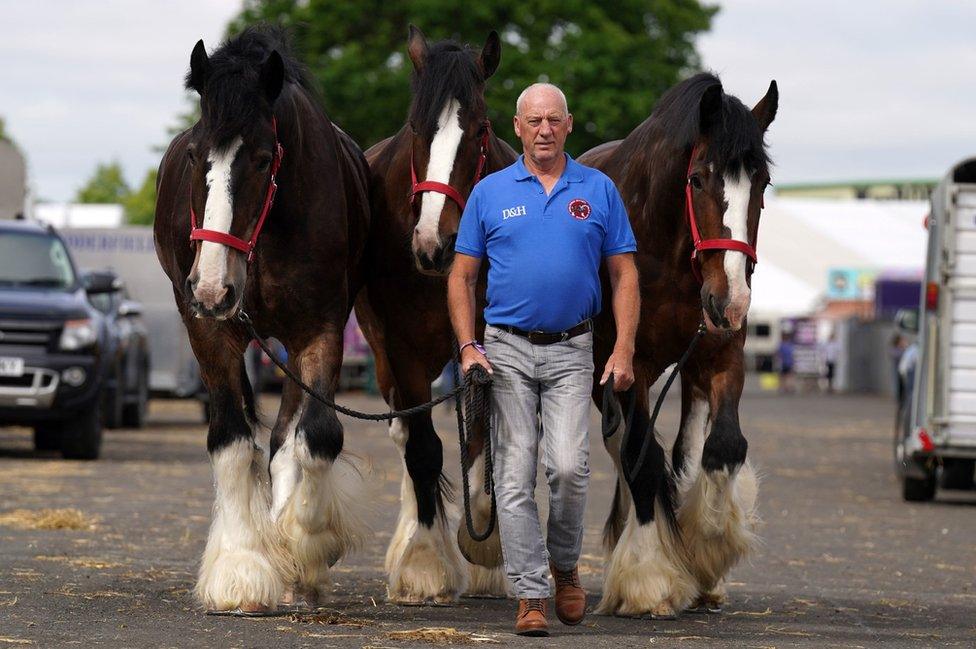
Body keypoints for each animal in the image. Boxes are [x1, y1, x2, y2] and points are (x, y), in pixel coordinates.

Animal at [154, 26, 372, 612]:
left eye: (262, 158)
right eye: (194, 154)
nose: (211, 285)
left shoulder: (319, 329)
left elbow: (315, 436)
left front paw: (304, 547)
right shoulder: (209, 329)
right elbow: (230, 440)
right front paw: (241, 567)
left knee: (285, 442)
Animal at [352, 25, 520, 604]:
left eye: (480, 129)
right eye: (416, 128)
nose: (434, 245)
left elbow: (484, 435)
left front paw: (488, 544)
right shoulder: (400, 348)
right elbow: (423, 449)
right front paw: (424, 560)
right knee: (407, 436)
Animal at [580, 73, 776, 616]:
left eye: (762, 185)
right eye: (697, 180)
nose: (732, 300)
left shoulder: (720, 356)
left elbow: (723, 446)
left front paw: (707, 546)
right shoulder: (628, 370)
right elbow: (642, 460)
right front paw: (649, 575)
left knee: (686, 447)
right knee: (627, 450)